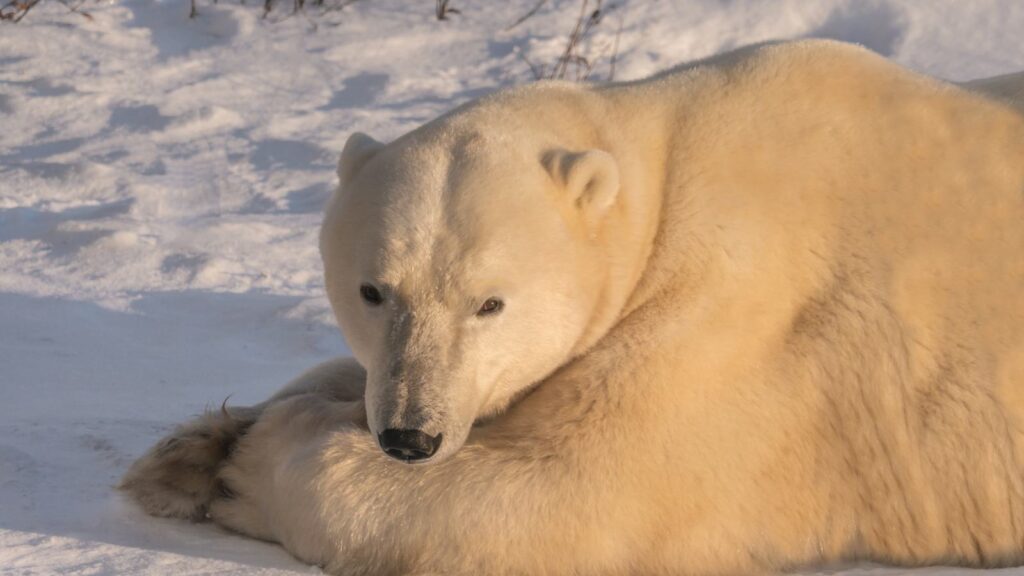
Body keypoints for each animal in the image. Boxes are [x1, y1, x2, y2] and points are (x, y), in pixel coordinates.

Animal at [120, 40, 1024, 575]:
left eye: (490, 303)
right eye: (373, 290)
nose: (411, 436)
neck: (658, 183)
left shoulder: (747, 327)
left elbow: (573, 497)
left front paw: (246, 466)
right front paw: (191, 448)